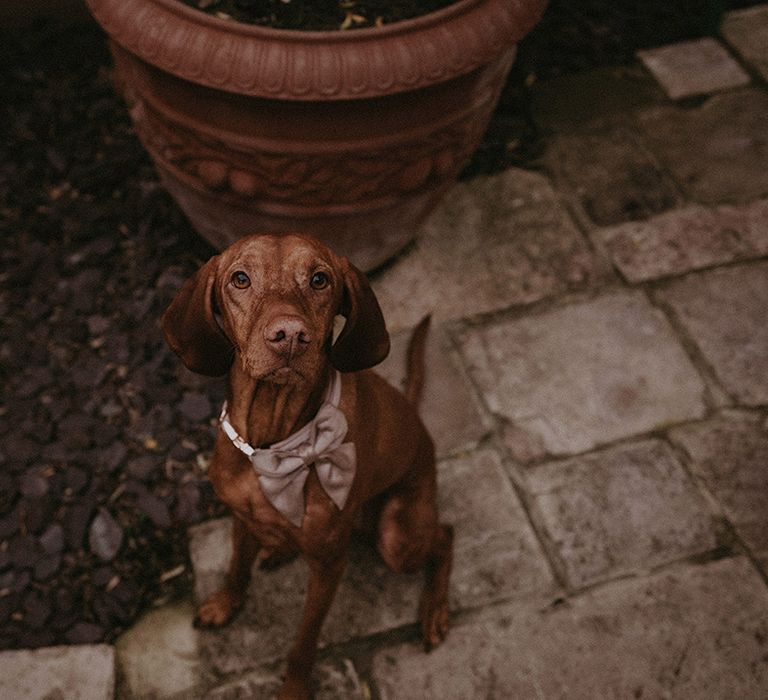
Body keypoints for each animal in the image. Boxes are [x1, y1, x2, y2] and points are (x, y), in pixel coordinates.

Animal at [162, 234, 450, 696]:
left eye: (319, 280)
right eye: (240, 279)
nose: (291, 336)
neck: (275, 440)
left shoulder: (330, 567)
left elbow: (304, 642)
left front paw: (294, 688)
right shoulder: (240, 517)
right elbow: (235, 570)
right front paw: (225, 604)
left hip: (398, 537)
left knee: (445, 536)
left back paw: (436, 610)